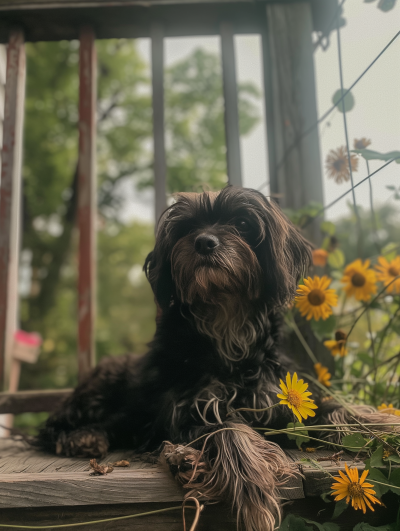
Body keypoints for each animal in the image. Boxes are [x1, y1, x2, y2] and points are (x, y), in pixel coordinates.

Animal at [38, 188, 390, 531]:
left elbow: (334, 408)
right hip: (103, 385)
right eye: (186, 228)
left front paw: (380, 423)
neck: (226, 325)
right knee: (50, 426)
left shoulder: (281, 402)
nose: (204, 242)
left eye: (243, 224)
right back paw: (86, 438)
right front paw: (252, 486)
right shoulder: (185, 412)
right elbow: (228, 429)